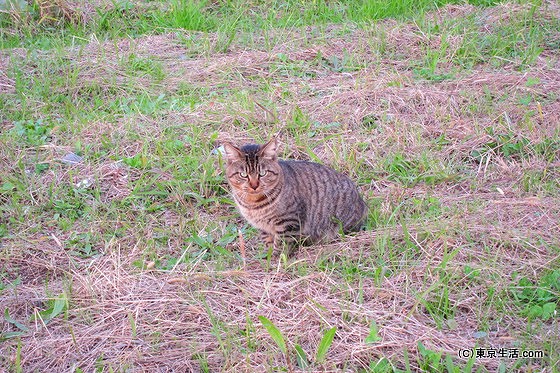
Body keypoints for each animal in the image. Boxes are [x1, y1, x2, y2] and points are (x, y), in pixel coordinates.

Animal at [223, 137, 368, 247]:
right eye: (243, 174)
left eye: (262, 173)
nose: (254, 186)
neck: (253, 204)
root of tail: (362, 202)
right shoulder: (263, 228)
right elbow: (268, 242)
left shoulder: (288, 222)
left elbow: (281, 246)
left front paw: (277, 259)